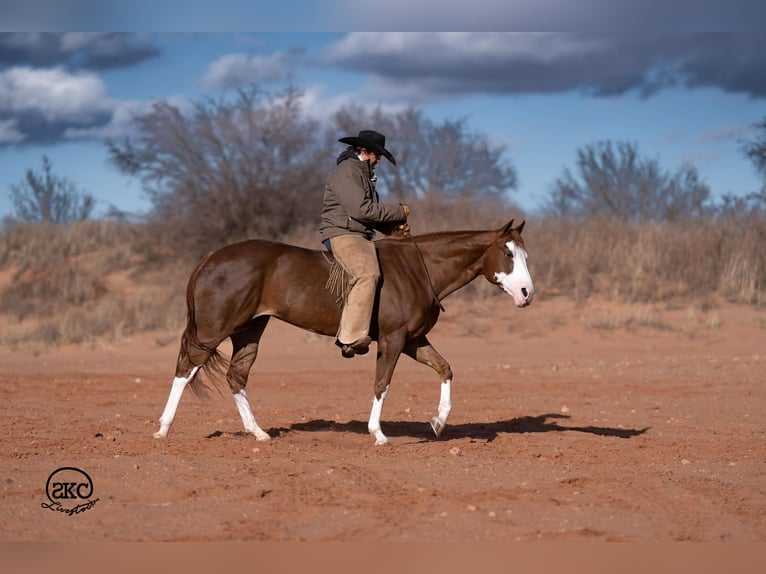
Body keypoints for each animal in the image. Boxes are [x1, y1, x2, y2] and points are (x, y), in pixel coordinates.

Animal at [153, 219, 534, 446]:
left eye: (524, 254)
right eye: (507, 253)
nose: (527, 293)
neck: (417, 268)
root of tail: (211, 257)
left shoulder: (413, 340)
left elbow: (445, 369)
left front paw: (438, 422)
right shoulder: (394, 339)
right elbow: (382, 383)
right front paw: (378, 433)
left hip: (250, 329)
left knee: (236, 375)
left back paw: (259, 433)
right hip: (214, 330)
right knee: (186, 369)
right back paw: (163, 429)